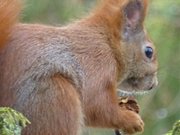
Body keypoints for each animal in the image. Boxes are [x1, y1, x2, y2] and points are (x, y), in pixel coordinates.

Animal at [0, 0, 158, 134]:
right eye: (149, 52)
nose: (153, 85)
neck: (106, 42)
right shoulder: (97, 64)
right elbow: (98, 106)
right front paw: (132, 120)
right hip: (53, 98)